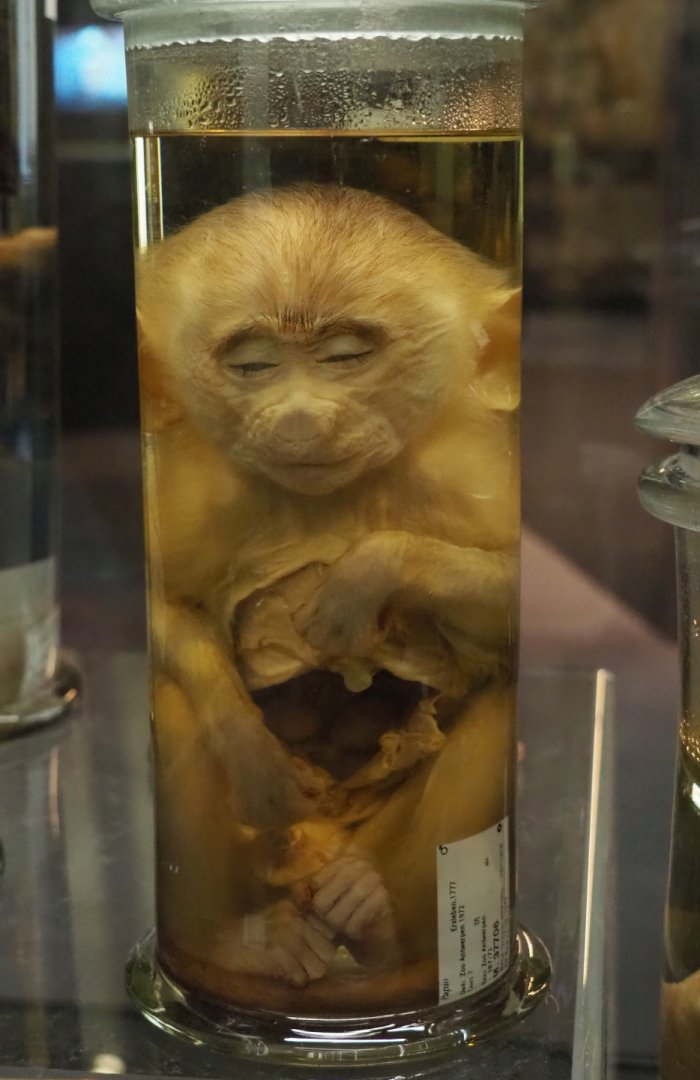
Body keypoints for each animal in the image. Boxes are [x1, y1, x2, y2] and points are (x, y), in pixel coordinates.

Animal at [137, 184, 521, 1009]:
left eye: (347, 357)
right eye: (252, 364)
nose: (301, 419)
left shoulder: (459, 471)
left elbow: (510, 599)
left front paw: (364, 576)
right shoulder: (204, 490)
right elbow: (162, 604)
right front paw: (253, 752)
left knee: (498, 707)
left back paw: (371, 923)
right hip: (280, 854)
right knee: (174, 701)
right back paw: (244, 945)